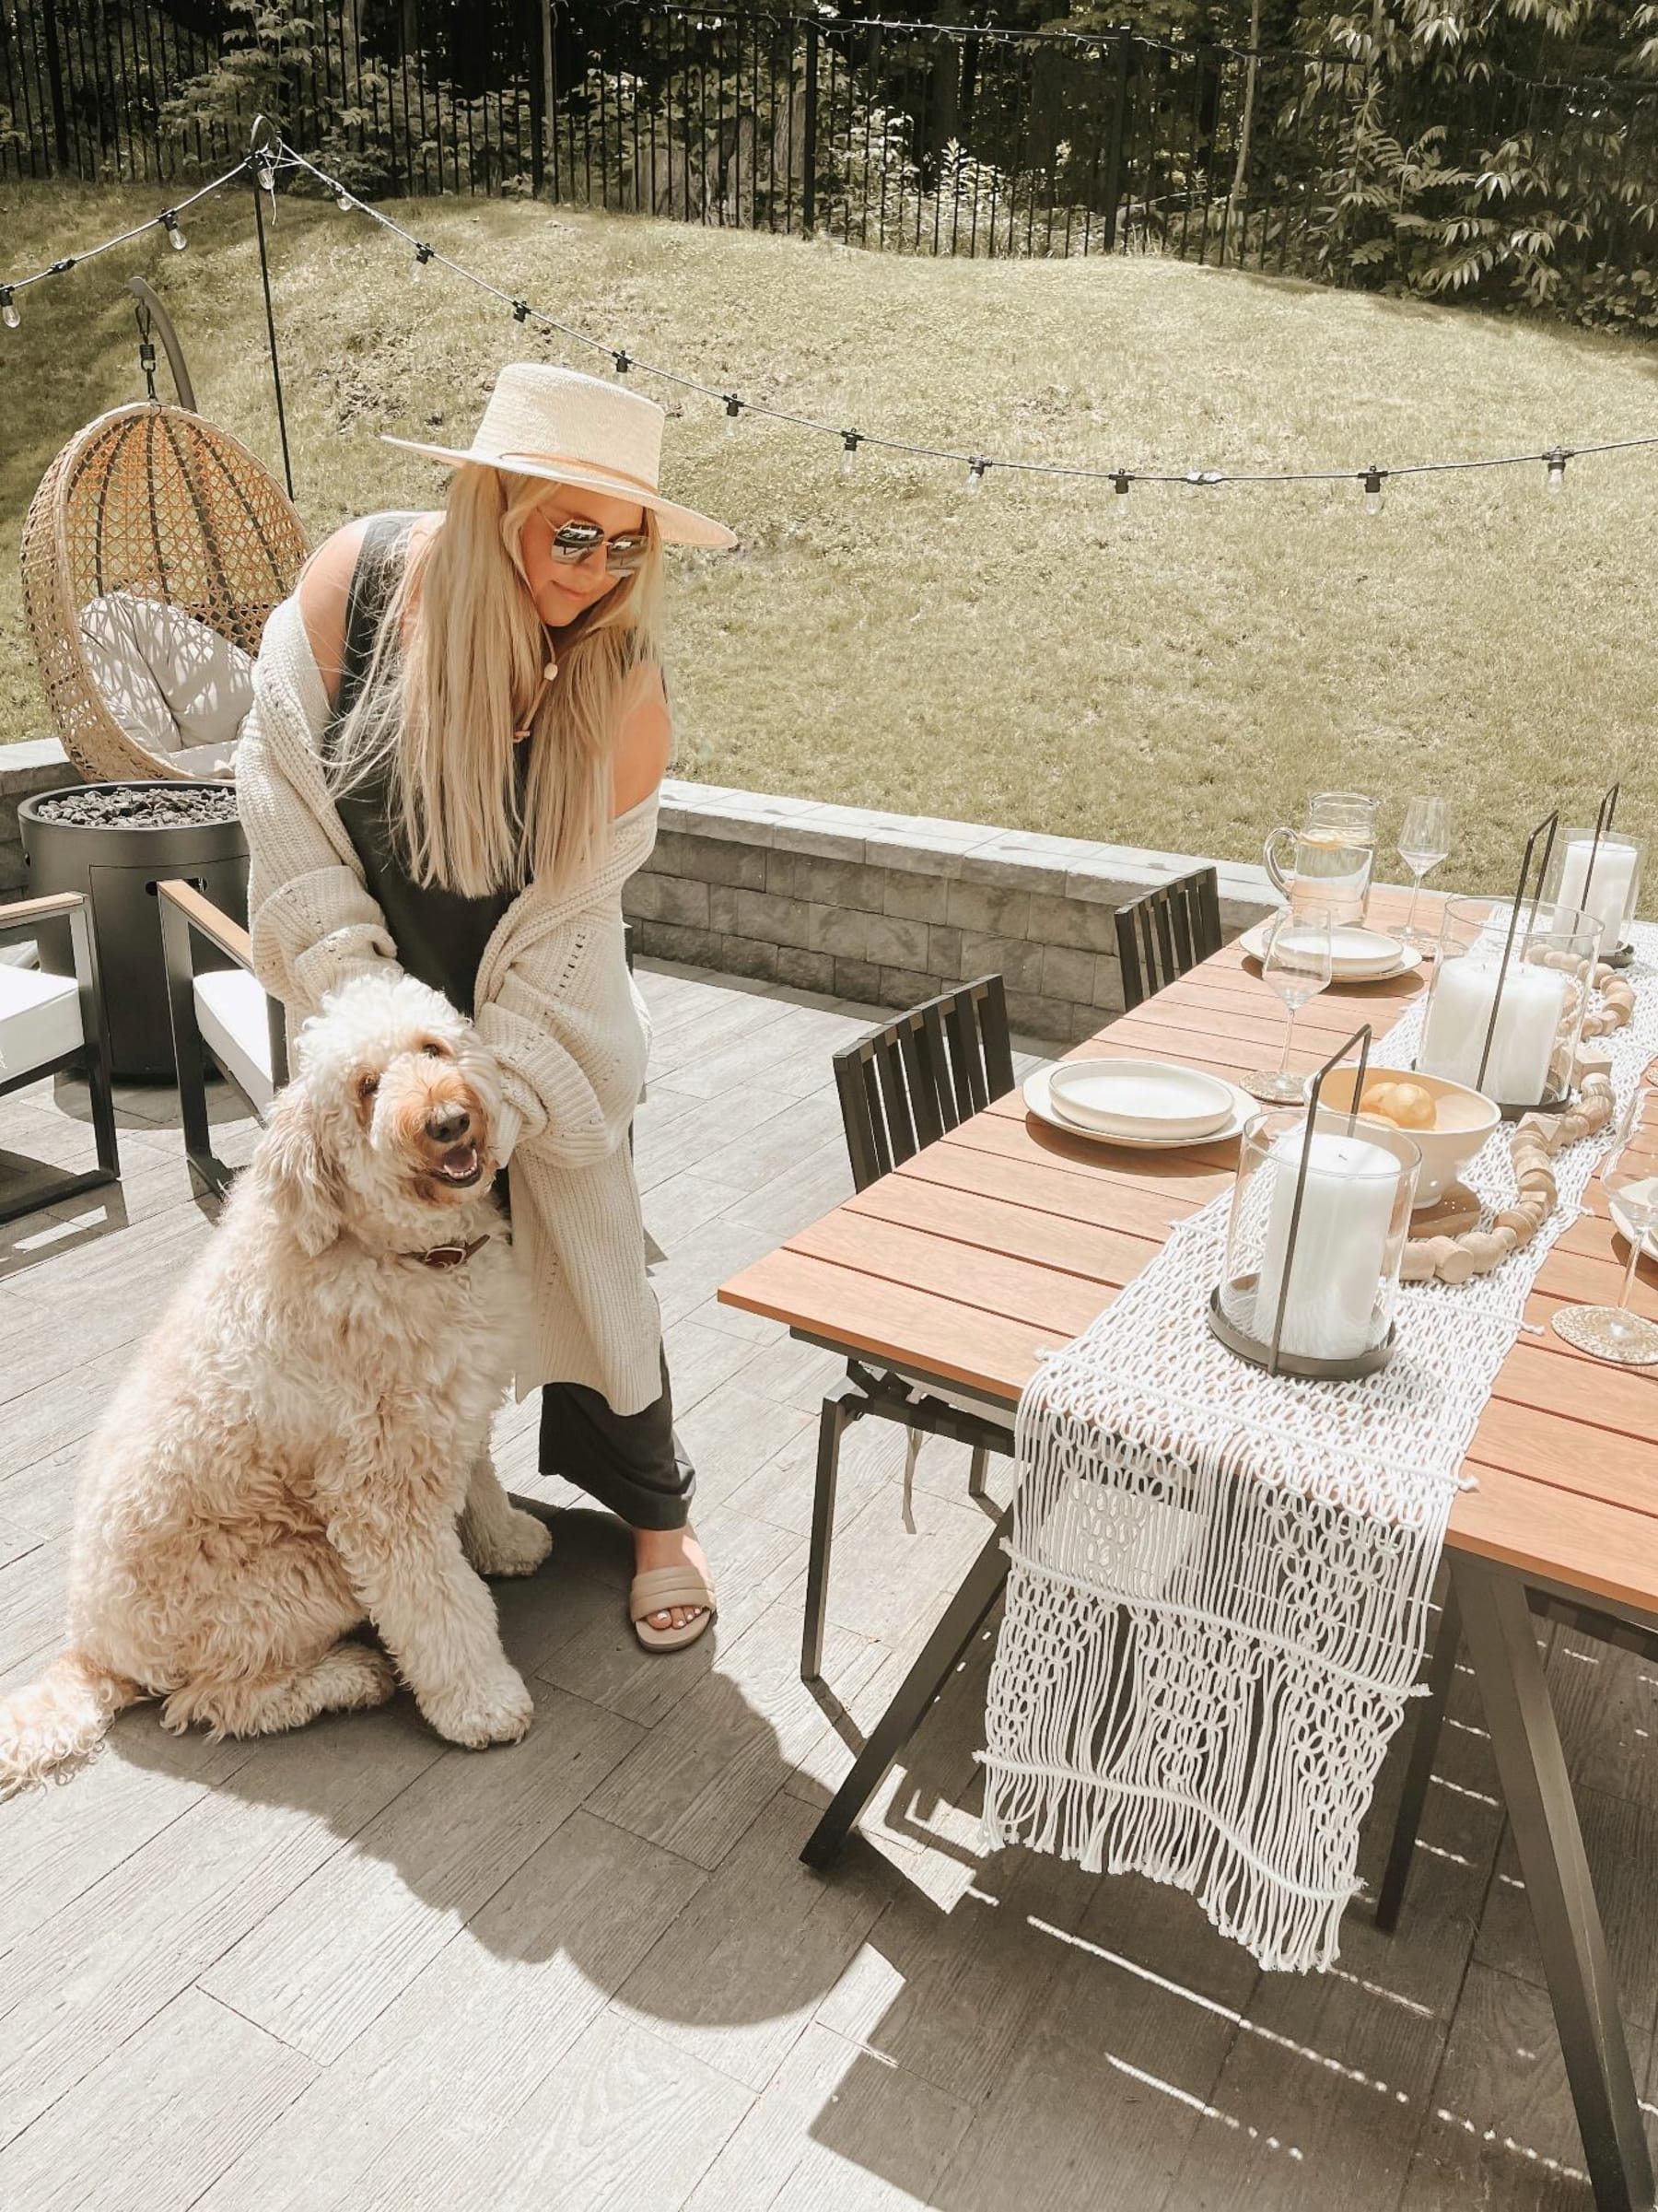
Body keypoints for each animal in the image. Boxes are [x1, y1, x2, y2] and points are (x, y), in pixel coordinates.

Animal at [0, 973, 559, 1796]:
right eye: (366, 1088)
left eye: (432, 1047)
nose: (448, 1121)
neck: (398, 1253)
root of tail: (93, 1651)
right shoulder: (378, 1493)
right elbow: (438, 1605)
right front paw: (482, 1705)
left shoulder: (448, 1415)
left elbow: (480, 1486)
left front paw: (509, 1540)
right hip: (298, 1576)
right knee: (214, 1700)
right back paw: (350, 1676)